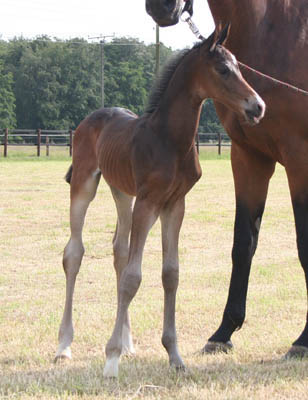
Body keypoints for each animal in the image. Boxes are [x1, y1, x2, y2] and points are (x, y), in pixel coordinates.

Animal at [53, 25, 264, 378]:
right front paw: (111, 359)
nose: (258, 106)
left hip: (122, 191)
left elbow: (170, 273)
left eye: (239, 67)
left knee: (119, 248)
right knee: (74, 253)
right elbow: (133, 277)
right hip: (85, 184)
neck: (169, 140)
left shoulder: (174, 205)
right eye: (223, 69)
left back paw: (128, 344)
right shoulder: (148, 202)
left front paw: (174, 356)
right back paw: (64, 346)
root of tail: (90, 119)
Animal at [146, 0, 308, 356]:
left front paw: (304, 340)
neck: (273, 29)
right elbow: (242, 243)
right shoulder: (248, 158)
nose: (160, 8)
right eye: (222, 69)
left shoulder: (300, 159)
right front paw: (224, 331)